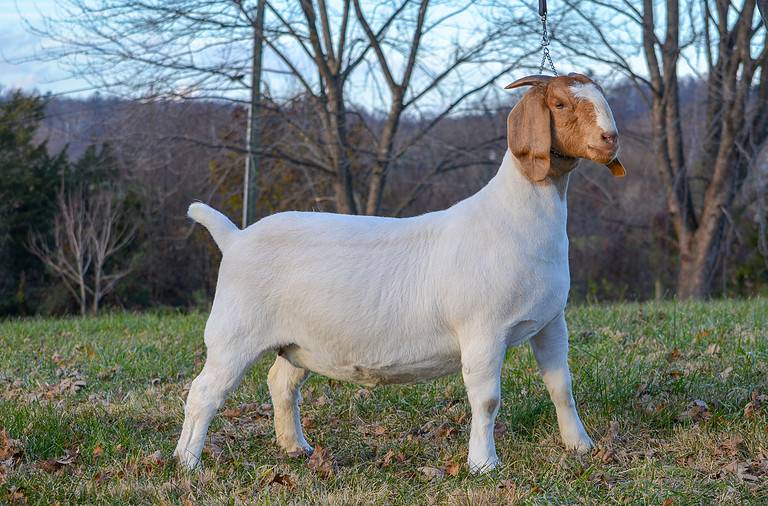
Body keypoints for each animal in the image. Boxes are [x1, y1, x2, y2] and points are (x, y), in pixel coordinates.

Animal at [174, 73, 625, 473]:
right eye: (560, 104)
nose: (610, 138)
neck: (515, 218)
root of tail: (234, 238)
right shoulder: (483, 330)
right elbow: (486, 400)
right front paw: (484, 465)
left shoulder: (550, 321)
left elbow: (561, 386)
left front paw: (580, 446)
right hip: (234, 334)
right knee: (204, 392)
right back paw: (188, 462)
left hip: (298, 340)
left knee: (281, 383)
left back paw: (295, 448)